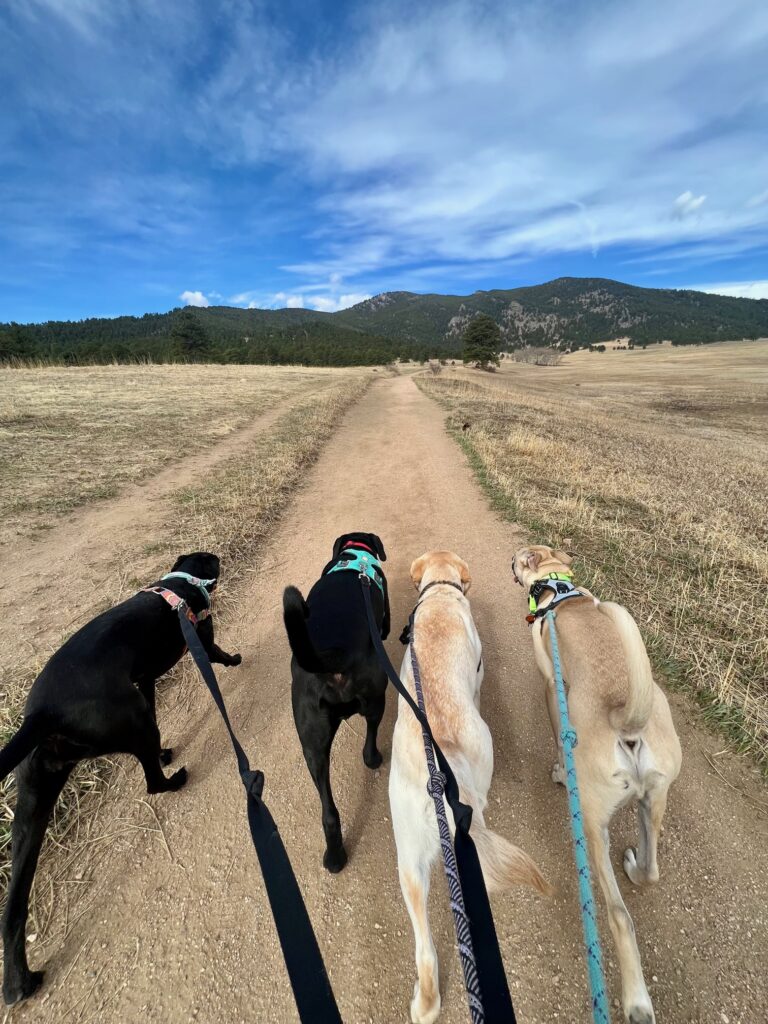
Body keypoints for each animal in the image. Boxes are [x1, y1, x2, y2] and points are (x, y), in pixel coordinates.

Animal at [0, 552, 240, 999]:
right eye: (211, 562)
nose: (216, 561)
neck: (179, 581)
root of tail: (42, 713)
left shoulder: (145, 680)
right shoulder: (203, 636)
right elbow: (216, 653)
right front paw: (234, 659)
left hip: (33, 804)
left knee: (13, 910)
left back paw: (19, 983)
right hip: (134, 719)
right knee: (152, 781)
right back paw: (173, 777)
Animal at [284, 532, 391, 876]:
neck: (355, 554)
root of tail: (332, 657)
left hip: (311, 745)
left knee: (329, 813)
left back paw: (334, 857)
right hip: (377, 696)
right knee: (370, 737)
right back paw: (373, 757)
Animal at [391, 552, 552, 1024]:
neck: (441, 592)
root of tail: (438, 789)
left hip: (408, 863)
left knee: (425, 948)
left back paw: (427, 1004)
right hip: (482, 763)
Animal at [514, 544, 684, 1024]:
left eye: (519, 558)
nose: (513, 564)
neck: (558, 589)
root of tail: (626, 719)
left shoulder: (552, 685)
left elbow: (556, 728)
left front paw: (557, 766)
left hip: (591, 821)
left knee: (619, 915)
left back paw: (637, 1002)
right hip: (654, 799)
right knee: (651, 871)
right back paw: (635, 865)